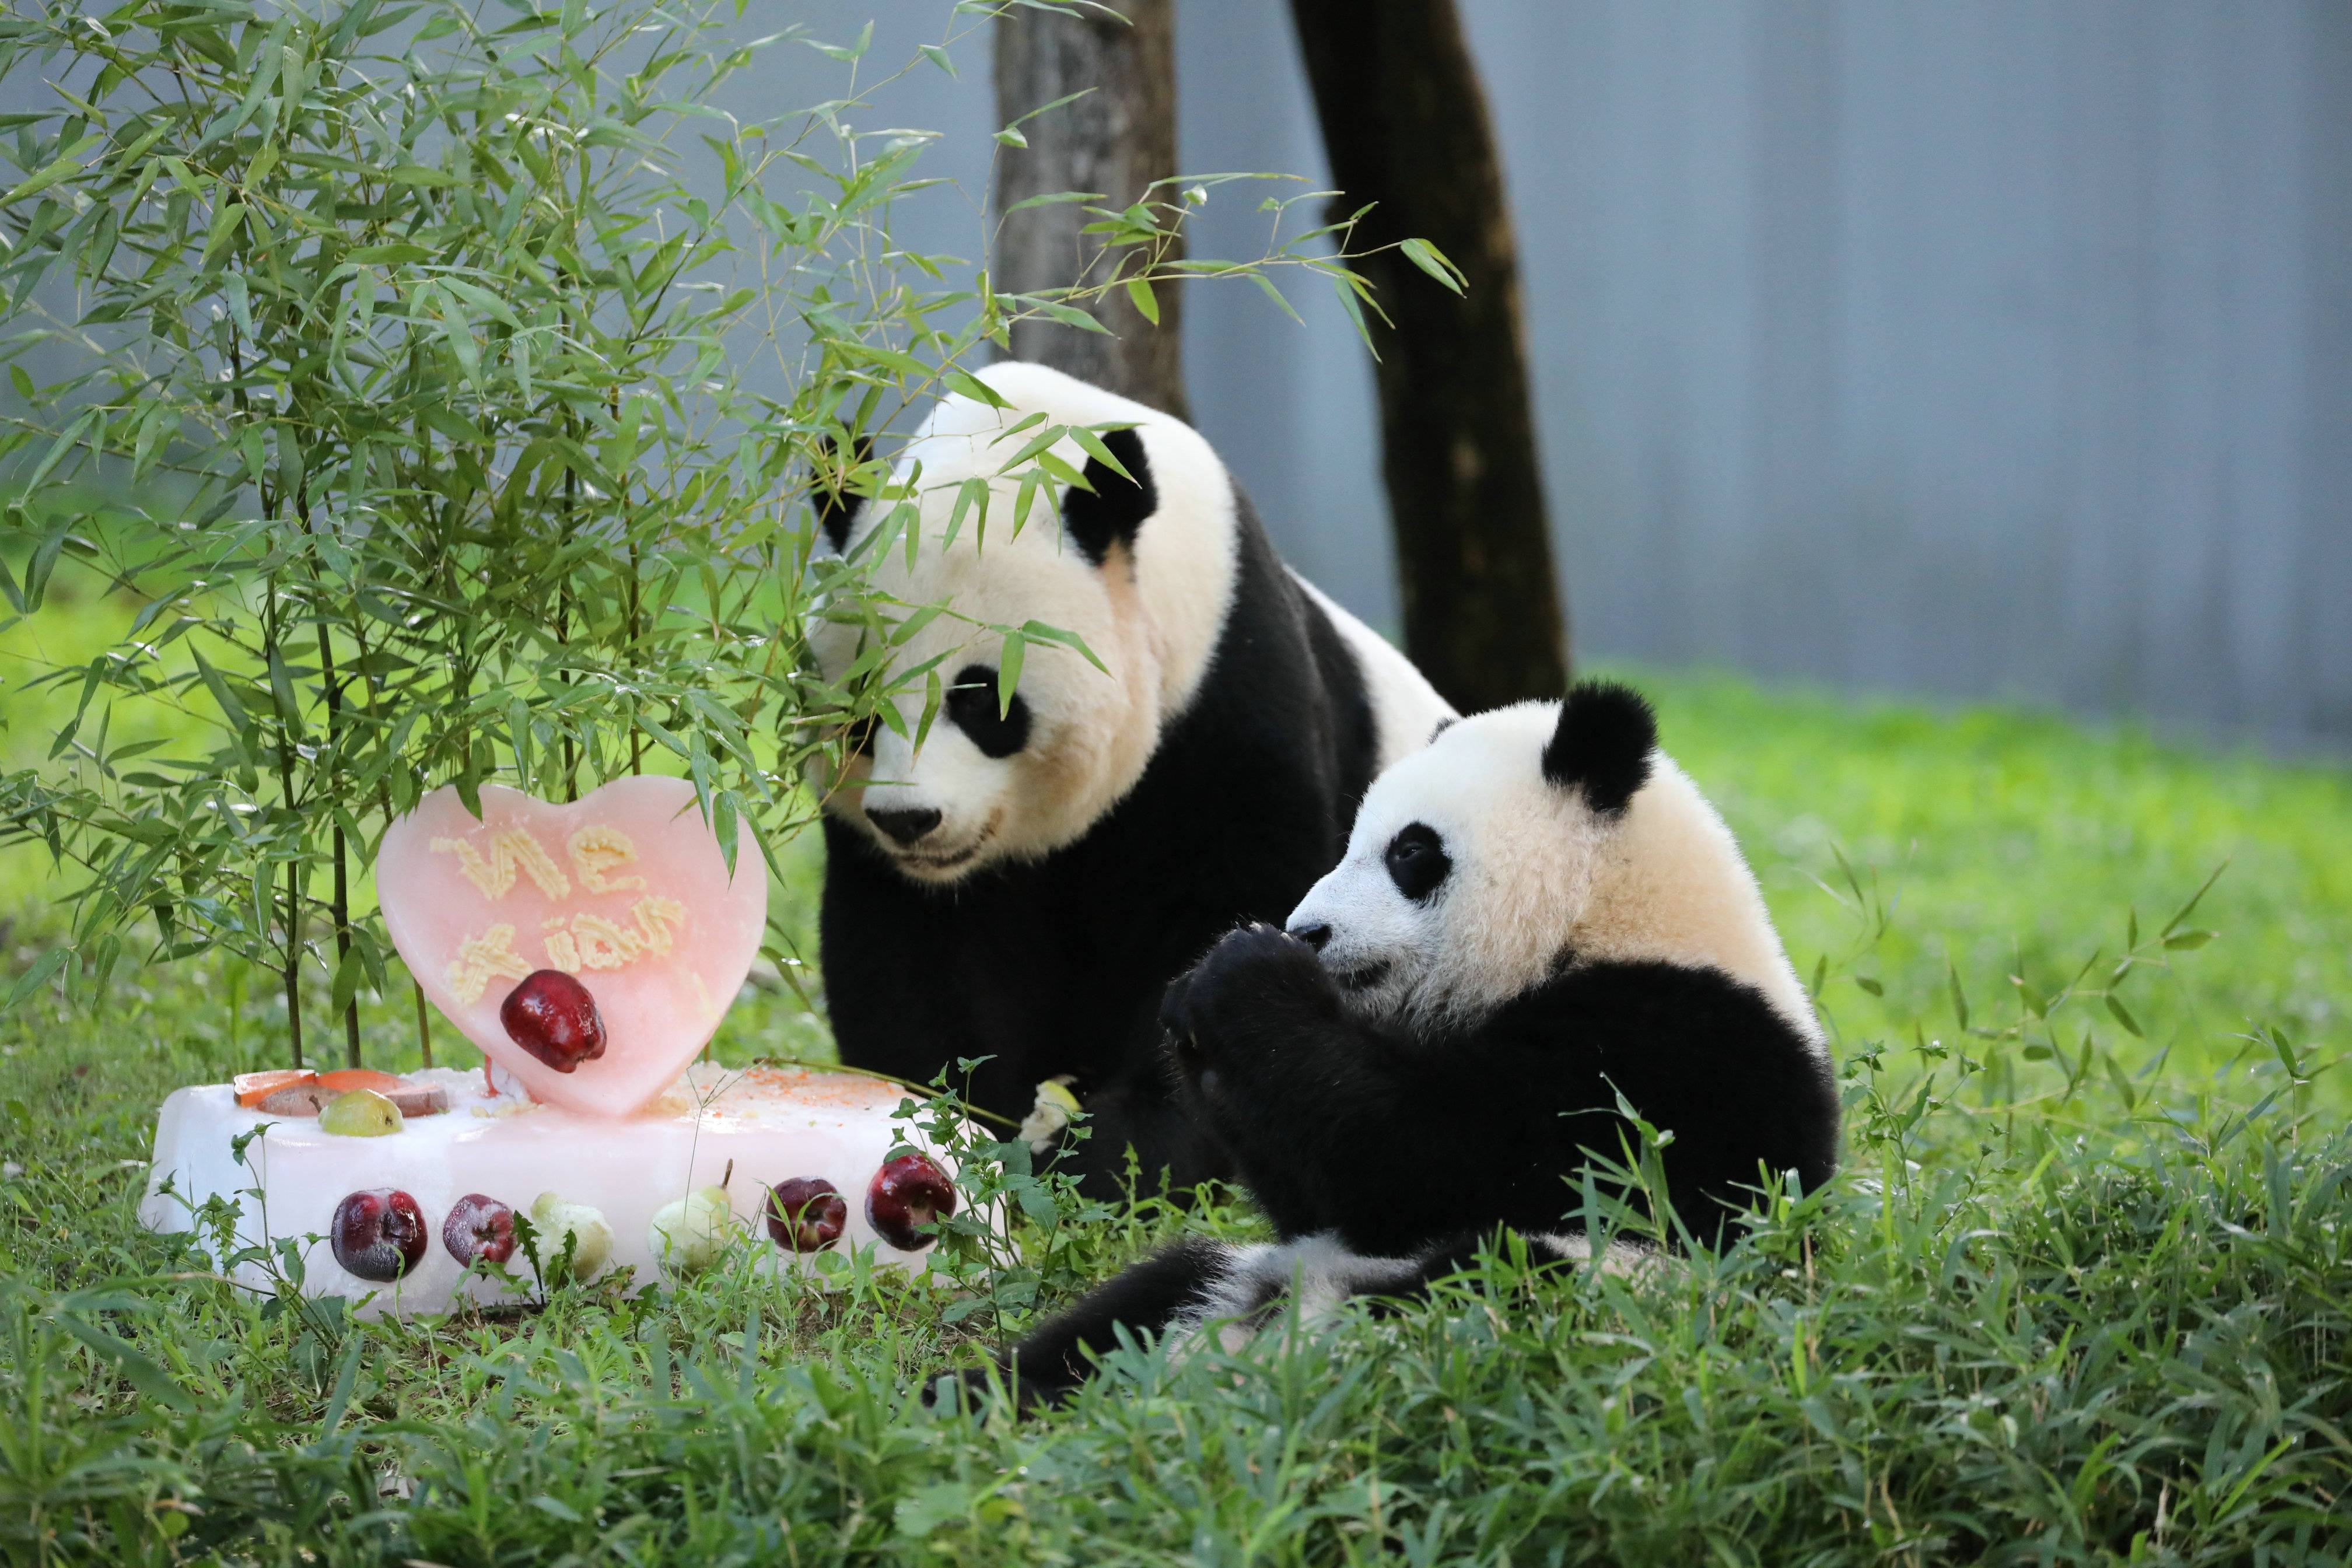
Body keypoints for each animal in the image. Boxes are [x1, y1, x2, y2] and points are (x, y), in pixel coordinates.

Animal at [809, 364, 1448, 1203]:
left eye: (981, 699)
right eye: (862, 708)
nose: (910, 820)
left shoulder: (1226, 689)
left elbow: (1220, 915)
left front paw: (1111, 1156)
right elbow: (917, 964)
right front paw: (958, 1130)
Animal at [954, 681, 1834, 1401]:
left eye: (1411, 852)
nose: (1309, 930)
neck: (1606, 917)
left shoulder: (1668, 1050)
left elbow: (1435, 1162)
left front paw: (1243, 974)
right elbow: (1327, 1190)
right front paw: (1196, 994)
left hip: (1594, 1290)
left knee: (1481, 1288)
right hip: (1241, 1272)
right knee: (1141, 1300)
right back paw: (990, 1398)